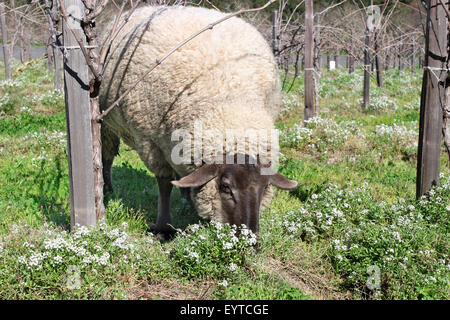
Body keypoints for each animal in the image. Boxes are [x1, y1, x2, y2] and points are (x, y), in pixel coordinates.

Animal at [100, 3, 298, 236]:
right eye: (225, 187)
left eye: (266, 187)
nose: (249, 239)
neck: (231, 99)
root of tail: (148, 7)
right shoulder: (150, 141)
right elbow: (164, 184)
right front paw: (164, 227)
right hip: (106, 122)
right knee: (106, 157)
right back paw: (107, 190)